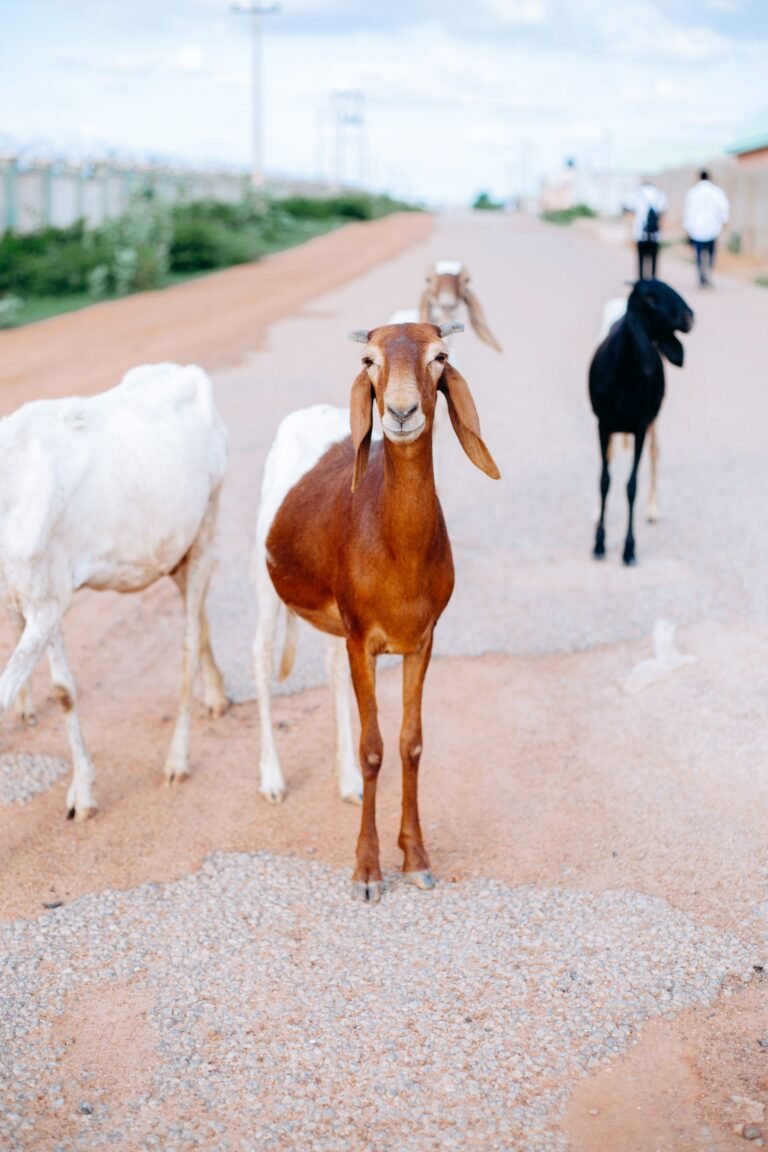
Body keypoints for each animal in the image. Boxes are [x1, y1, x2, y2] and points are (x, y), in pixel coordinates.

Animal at [0, 363, 228, 819]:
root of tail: (188, 371)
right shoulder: (34, 598)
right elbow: (60, 689)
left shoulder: (46, 601)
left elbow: (55, 693)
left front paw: (82, 798)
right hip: (173, 552)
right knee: (200, 616)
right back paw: (216, 696)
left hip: (207, 525)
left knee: (189, 642)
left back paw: (176, 761)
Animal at [255, 322, 499, 901]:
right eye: (369, 359)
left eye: (439, 356)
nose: (402, 411)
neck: (395, 551)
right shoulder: (362, 639)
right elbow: (374, 749)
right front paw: (367, 871)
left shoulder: (422, 641)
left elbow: (411, 744)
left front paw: (416, 858)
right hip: (266, 582)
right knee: (260, 660)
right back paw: (272, 779)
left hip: (333, 622)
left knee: (328, 672)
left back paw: (343, 782)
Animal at [589, 280, 693, 565]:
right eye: (650, 298)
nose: (689, 317)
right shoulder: (603, 425)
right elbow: (605, 480)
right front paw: (599, 544)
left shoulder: (639, 427)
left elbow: (631, 486)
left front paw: (629, 549)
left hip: (652, 423)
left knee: (655, 455)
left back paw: (653, 508)